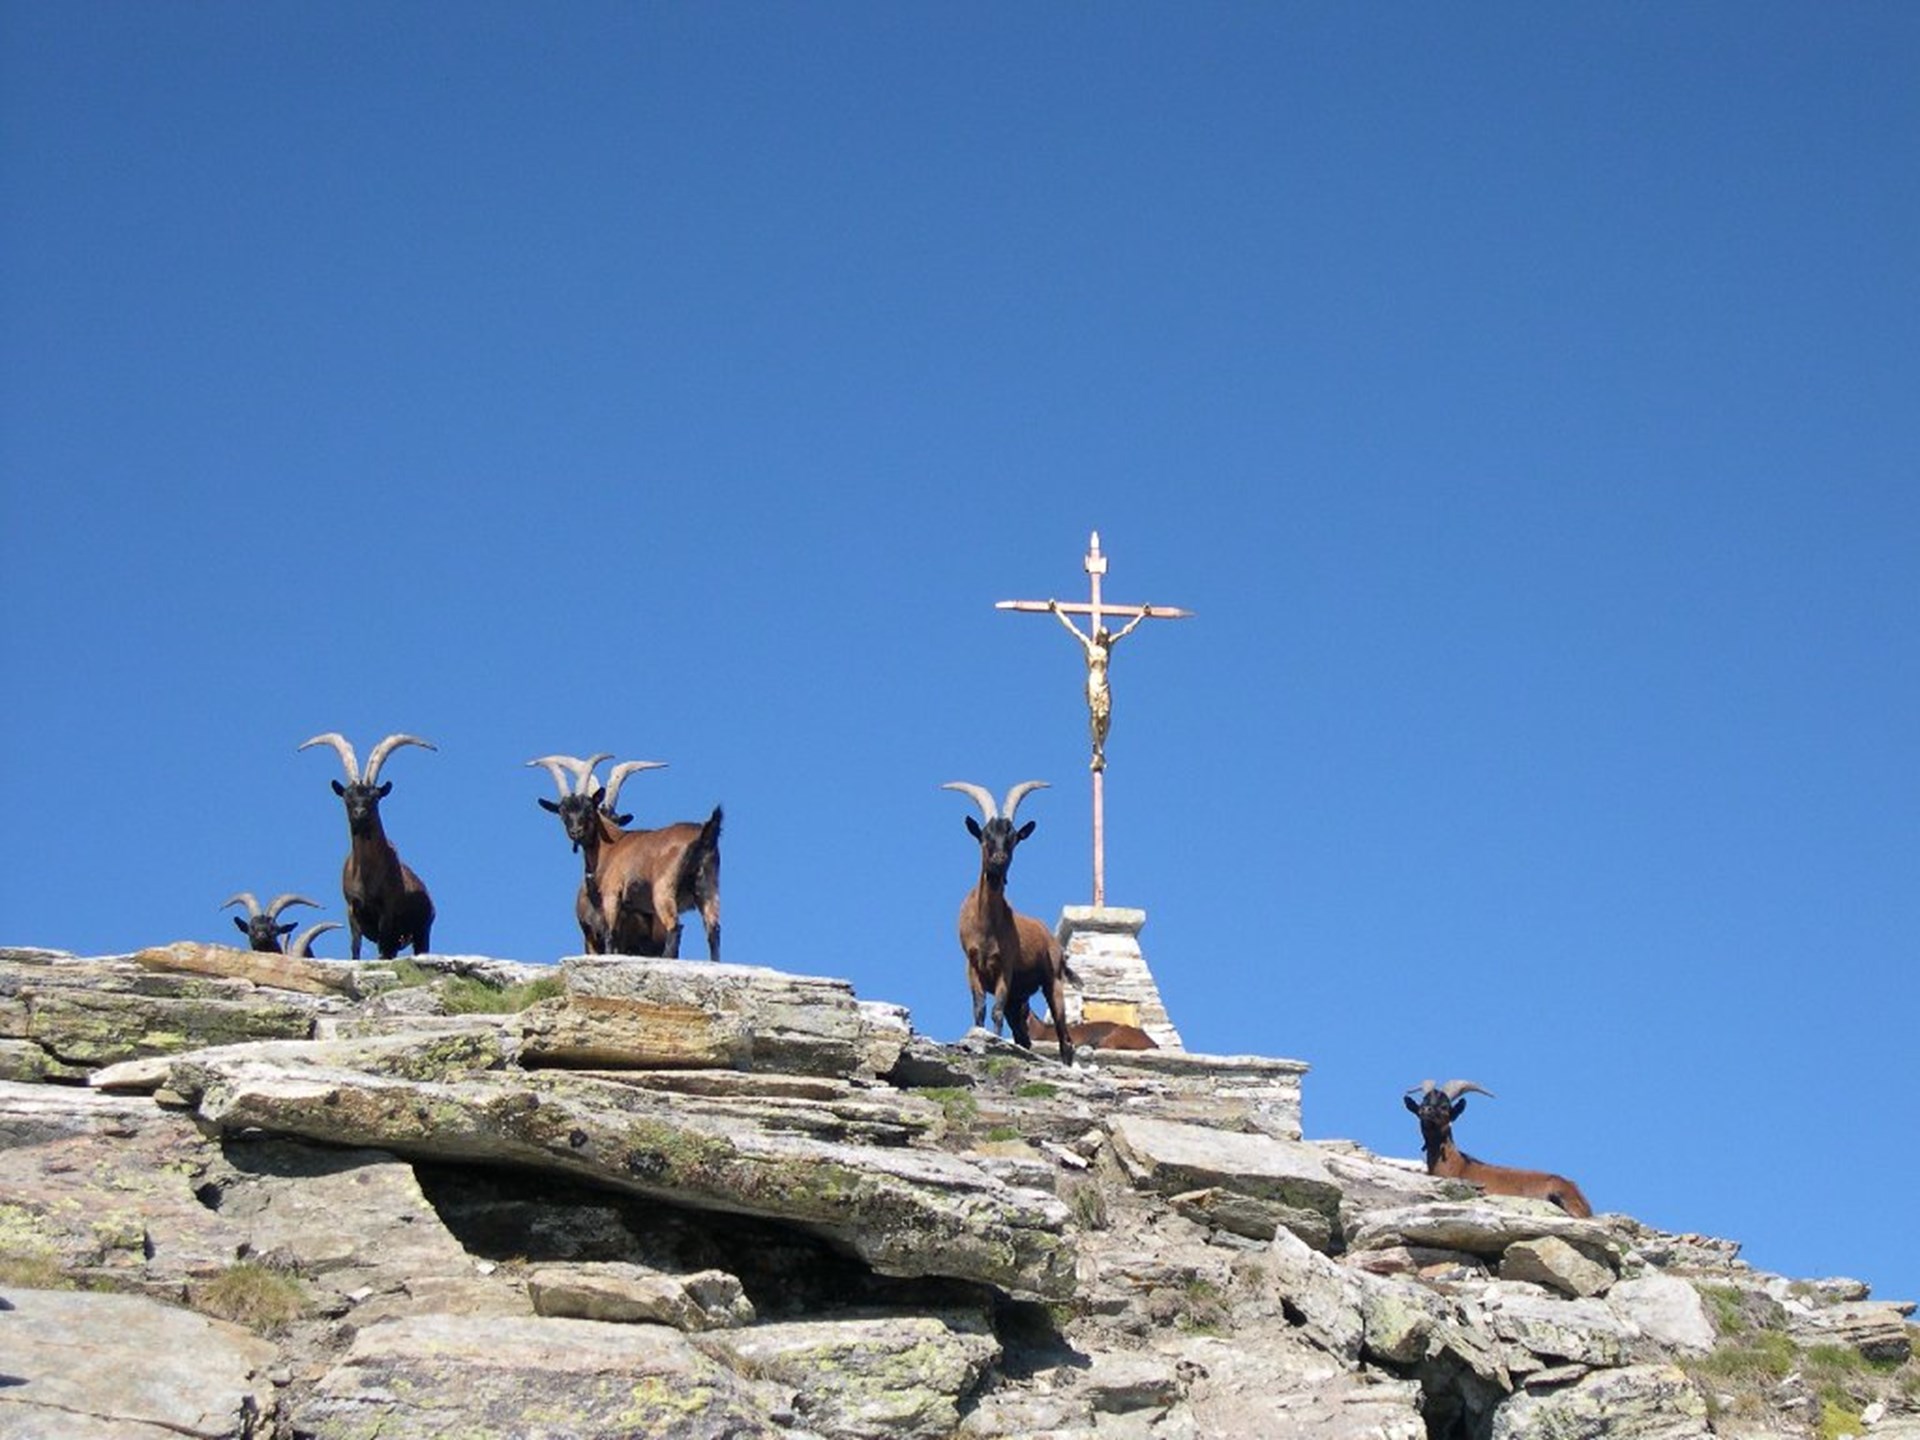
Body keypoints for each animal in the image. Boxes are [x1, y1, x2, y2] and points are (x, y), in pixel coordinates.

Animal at [299, 731, 437, 960]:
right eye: (347, 797)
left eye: (375, 797)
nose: (360, 814)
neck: (366, 873)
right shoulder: (352, 909)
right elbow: (355, 947)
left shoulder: (387, 910)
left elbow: (382, 948)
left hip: (422, 931)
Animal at [942, 780, 1076, 1064]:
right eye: (984, 836)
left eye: (1013, 837)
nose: (998, 861)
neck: (986, 926)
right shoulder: (972, 966)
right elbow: (979, 1010)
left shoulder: (1005, 967)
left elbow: (995, 1011)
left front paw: (993, 1043)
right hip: (1019, 999)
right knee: (1024, 1038)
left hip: (1052, 981)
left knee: (1065, 1040)